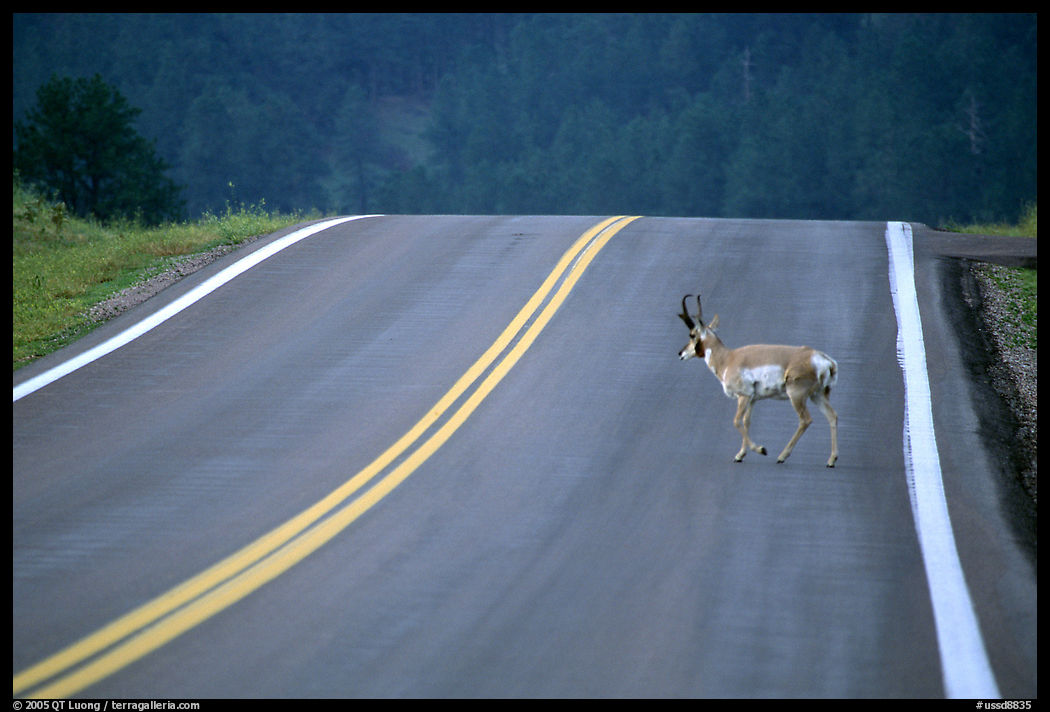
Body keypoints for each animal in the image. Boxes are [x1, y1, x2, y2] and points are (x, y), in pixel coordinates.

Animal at [677, 294, 839, 467]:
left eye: (692, 335)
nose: (680, 353)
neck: (728, 358)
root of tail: (823, 359)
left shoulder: (743, 396)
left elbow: (737, 421)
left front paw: (761, 449)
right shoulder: (753, 399)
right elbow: (746, 422)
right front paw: (740, 455)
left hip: (796, 395)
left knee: (805, 420)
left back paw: (782, 456)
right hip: (817, 395)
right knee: (832, 416)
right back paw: (831, 459)